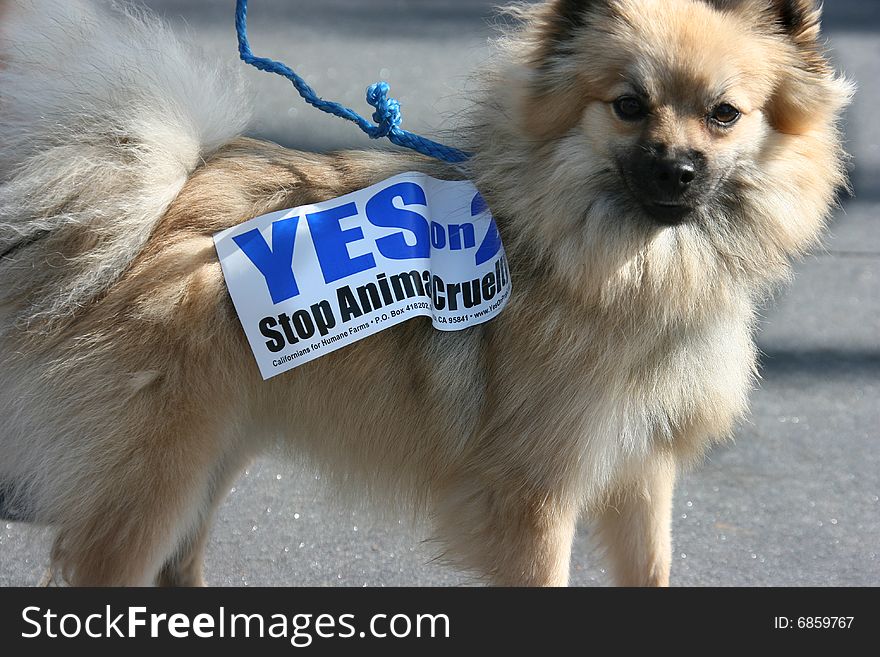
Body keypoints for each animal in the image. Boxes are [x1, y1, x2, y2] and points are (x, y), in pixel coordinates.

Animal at [0, 0, 852, 584]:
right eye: (629, 106)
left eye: (723, 115)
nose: (677, 170)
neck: (624, 262)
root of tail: (163, 194)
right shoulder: (533, 502)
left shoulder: (641, 477)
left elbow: (652, 571)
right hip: (154, 480)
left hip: (214, 450)